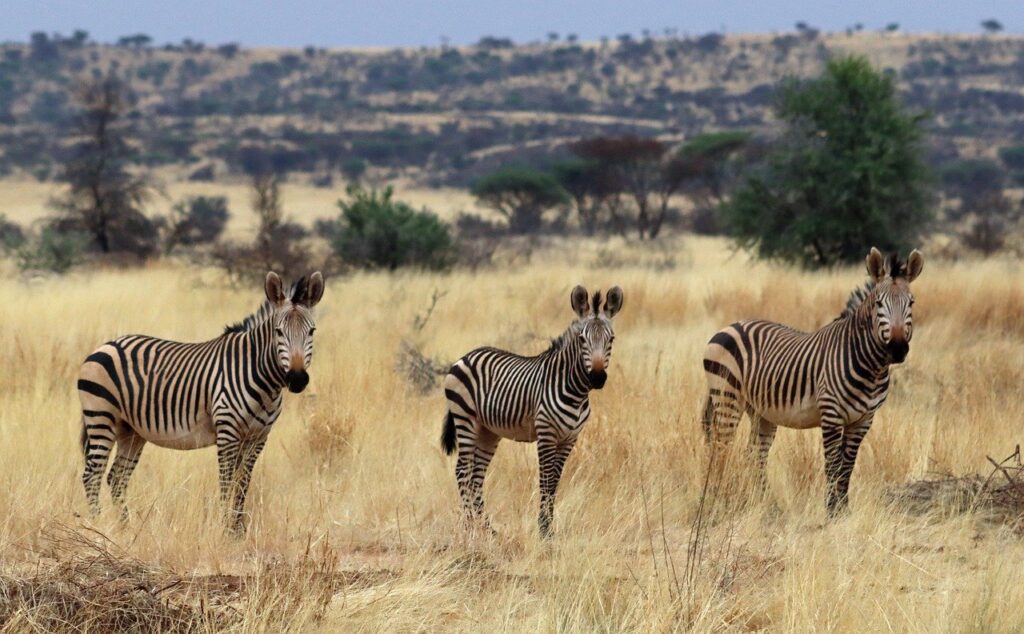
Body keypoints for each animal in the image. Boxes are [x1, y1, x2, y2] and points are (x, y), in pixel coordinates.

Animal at [76, 270, 323, 532]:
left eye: (312, 331)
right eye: (278, 332)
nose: (297, 379)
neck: (263, 381)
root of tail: (106, 345)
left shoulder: (258, 437)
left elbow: (242, 483)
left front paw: (238, 529)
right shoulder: (228, 432)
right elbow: (227, 482)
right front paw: (225, 529)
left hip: (130, 430)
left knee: (116, 477)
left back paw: (126, 527)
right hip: (101, 417)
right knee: (92, 474)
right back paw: (97, 524)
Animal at [442, 284, 622, 536]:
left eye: (611, 339)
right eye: (582, 339)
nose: (596, 377)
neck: (575, 392)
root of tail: (467, 355)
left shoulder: (569, 439)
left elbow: (554, 482)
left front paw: (549, 528)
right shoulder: (546, 433)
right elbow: (545, 480)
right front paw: (544, 530)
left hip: (488, 430)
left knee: (476, 476)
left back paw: (487, 528)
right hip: (465, 418)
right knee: (462, 471)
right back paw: (471, 527)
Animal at [700, 247, 925, 516]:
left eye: (911, 303)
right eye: (879, 303)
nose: (898, 348)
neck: (872, 368)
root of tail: (730, 326)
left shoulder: (863, 420)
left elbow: (847, 467)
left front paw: (843, 511)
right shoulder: (831, 414)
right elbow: (833, 465)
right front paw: (831, 512)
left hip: (761, 411)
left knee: (755, 454)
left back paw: (768, 505)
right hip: (727, 397)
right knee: (720, 449)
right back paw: (717, 502)